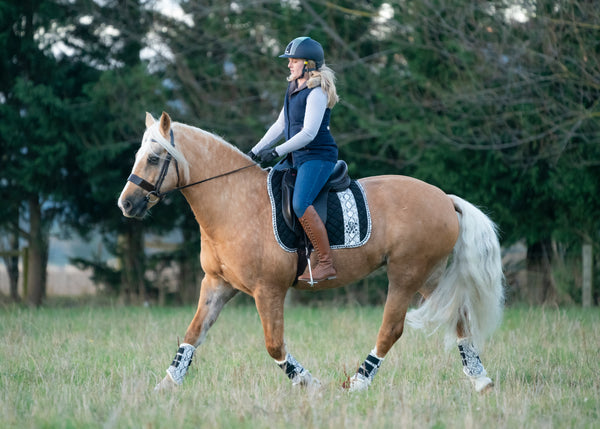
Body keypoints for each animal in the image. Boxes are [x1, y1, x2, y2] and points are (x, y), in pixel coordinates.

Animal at [117, 112, 502, 392]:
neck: (234, 203)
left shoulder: (268, 291)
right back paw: (480, 380)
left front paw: (309, 383)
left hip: (406, 275)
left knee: (392, 329)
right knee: (460, 320)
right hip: (429, 276)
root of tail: (444, 199)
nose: (127, 204)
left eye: (154, 158)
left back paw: (358, 382)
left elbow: (274, 345)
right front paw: (167, 385)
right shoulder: (216, 285)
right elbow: (192, 335)